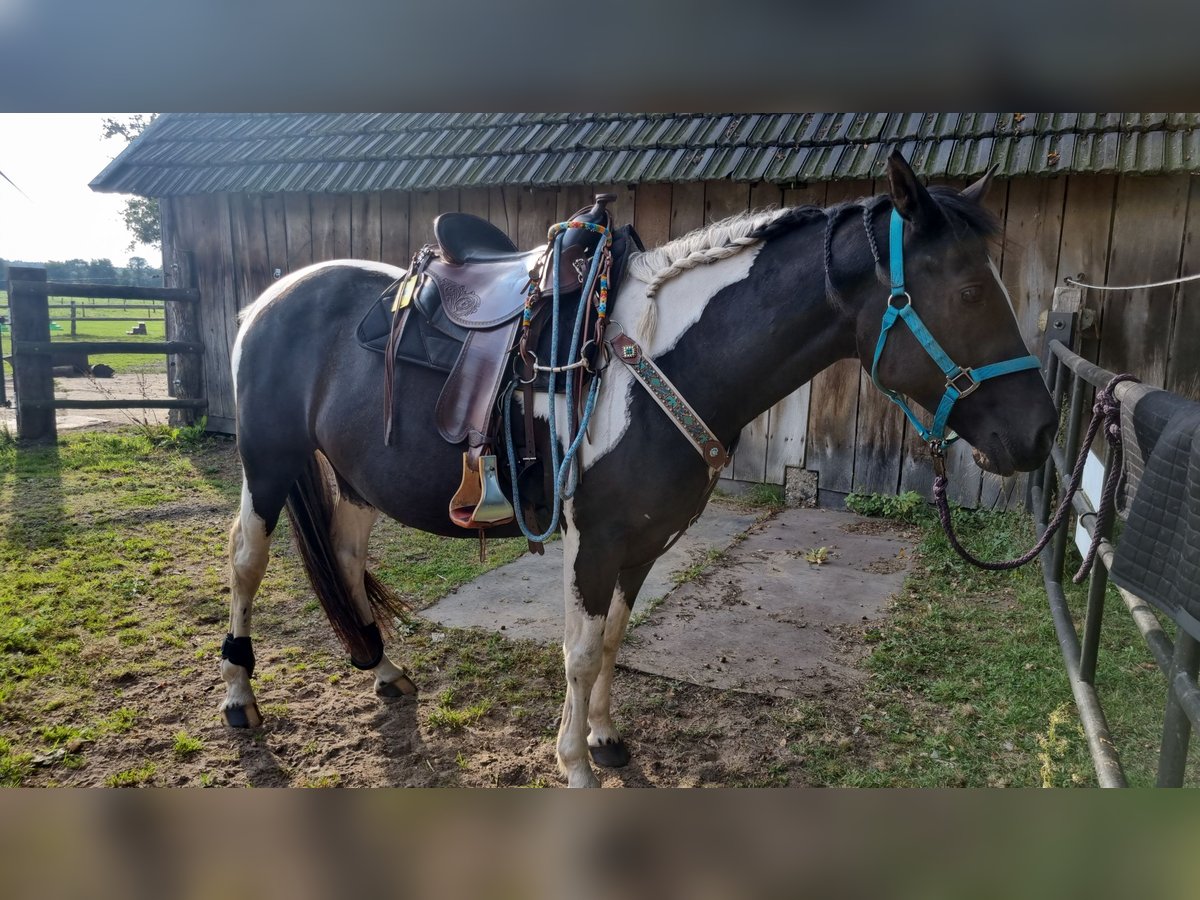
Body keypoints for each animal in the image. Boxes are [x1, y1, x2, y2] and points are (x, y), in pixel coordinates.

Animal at [220, 151, 1056, 787]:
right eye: (970, 290)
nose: (1041, 432)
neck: (658, 359)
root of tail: (270, 298)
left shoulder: (646, 541)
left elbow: (618, 640)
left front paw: (604, 739)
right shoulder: (595, 540)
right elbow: (582, 651)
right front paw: (575, 766)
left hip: (358, 478)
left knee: (346, 557)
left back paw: (385, 670)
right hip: (268, 460)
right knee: (246, 560)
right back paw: (238, 697)